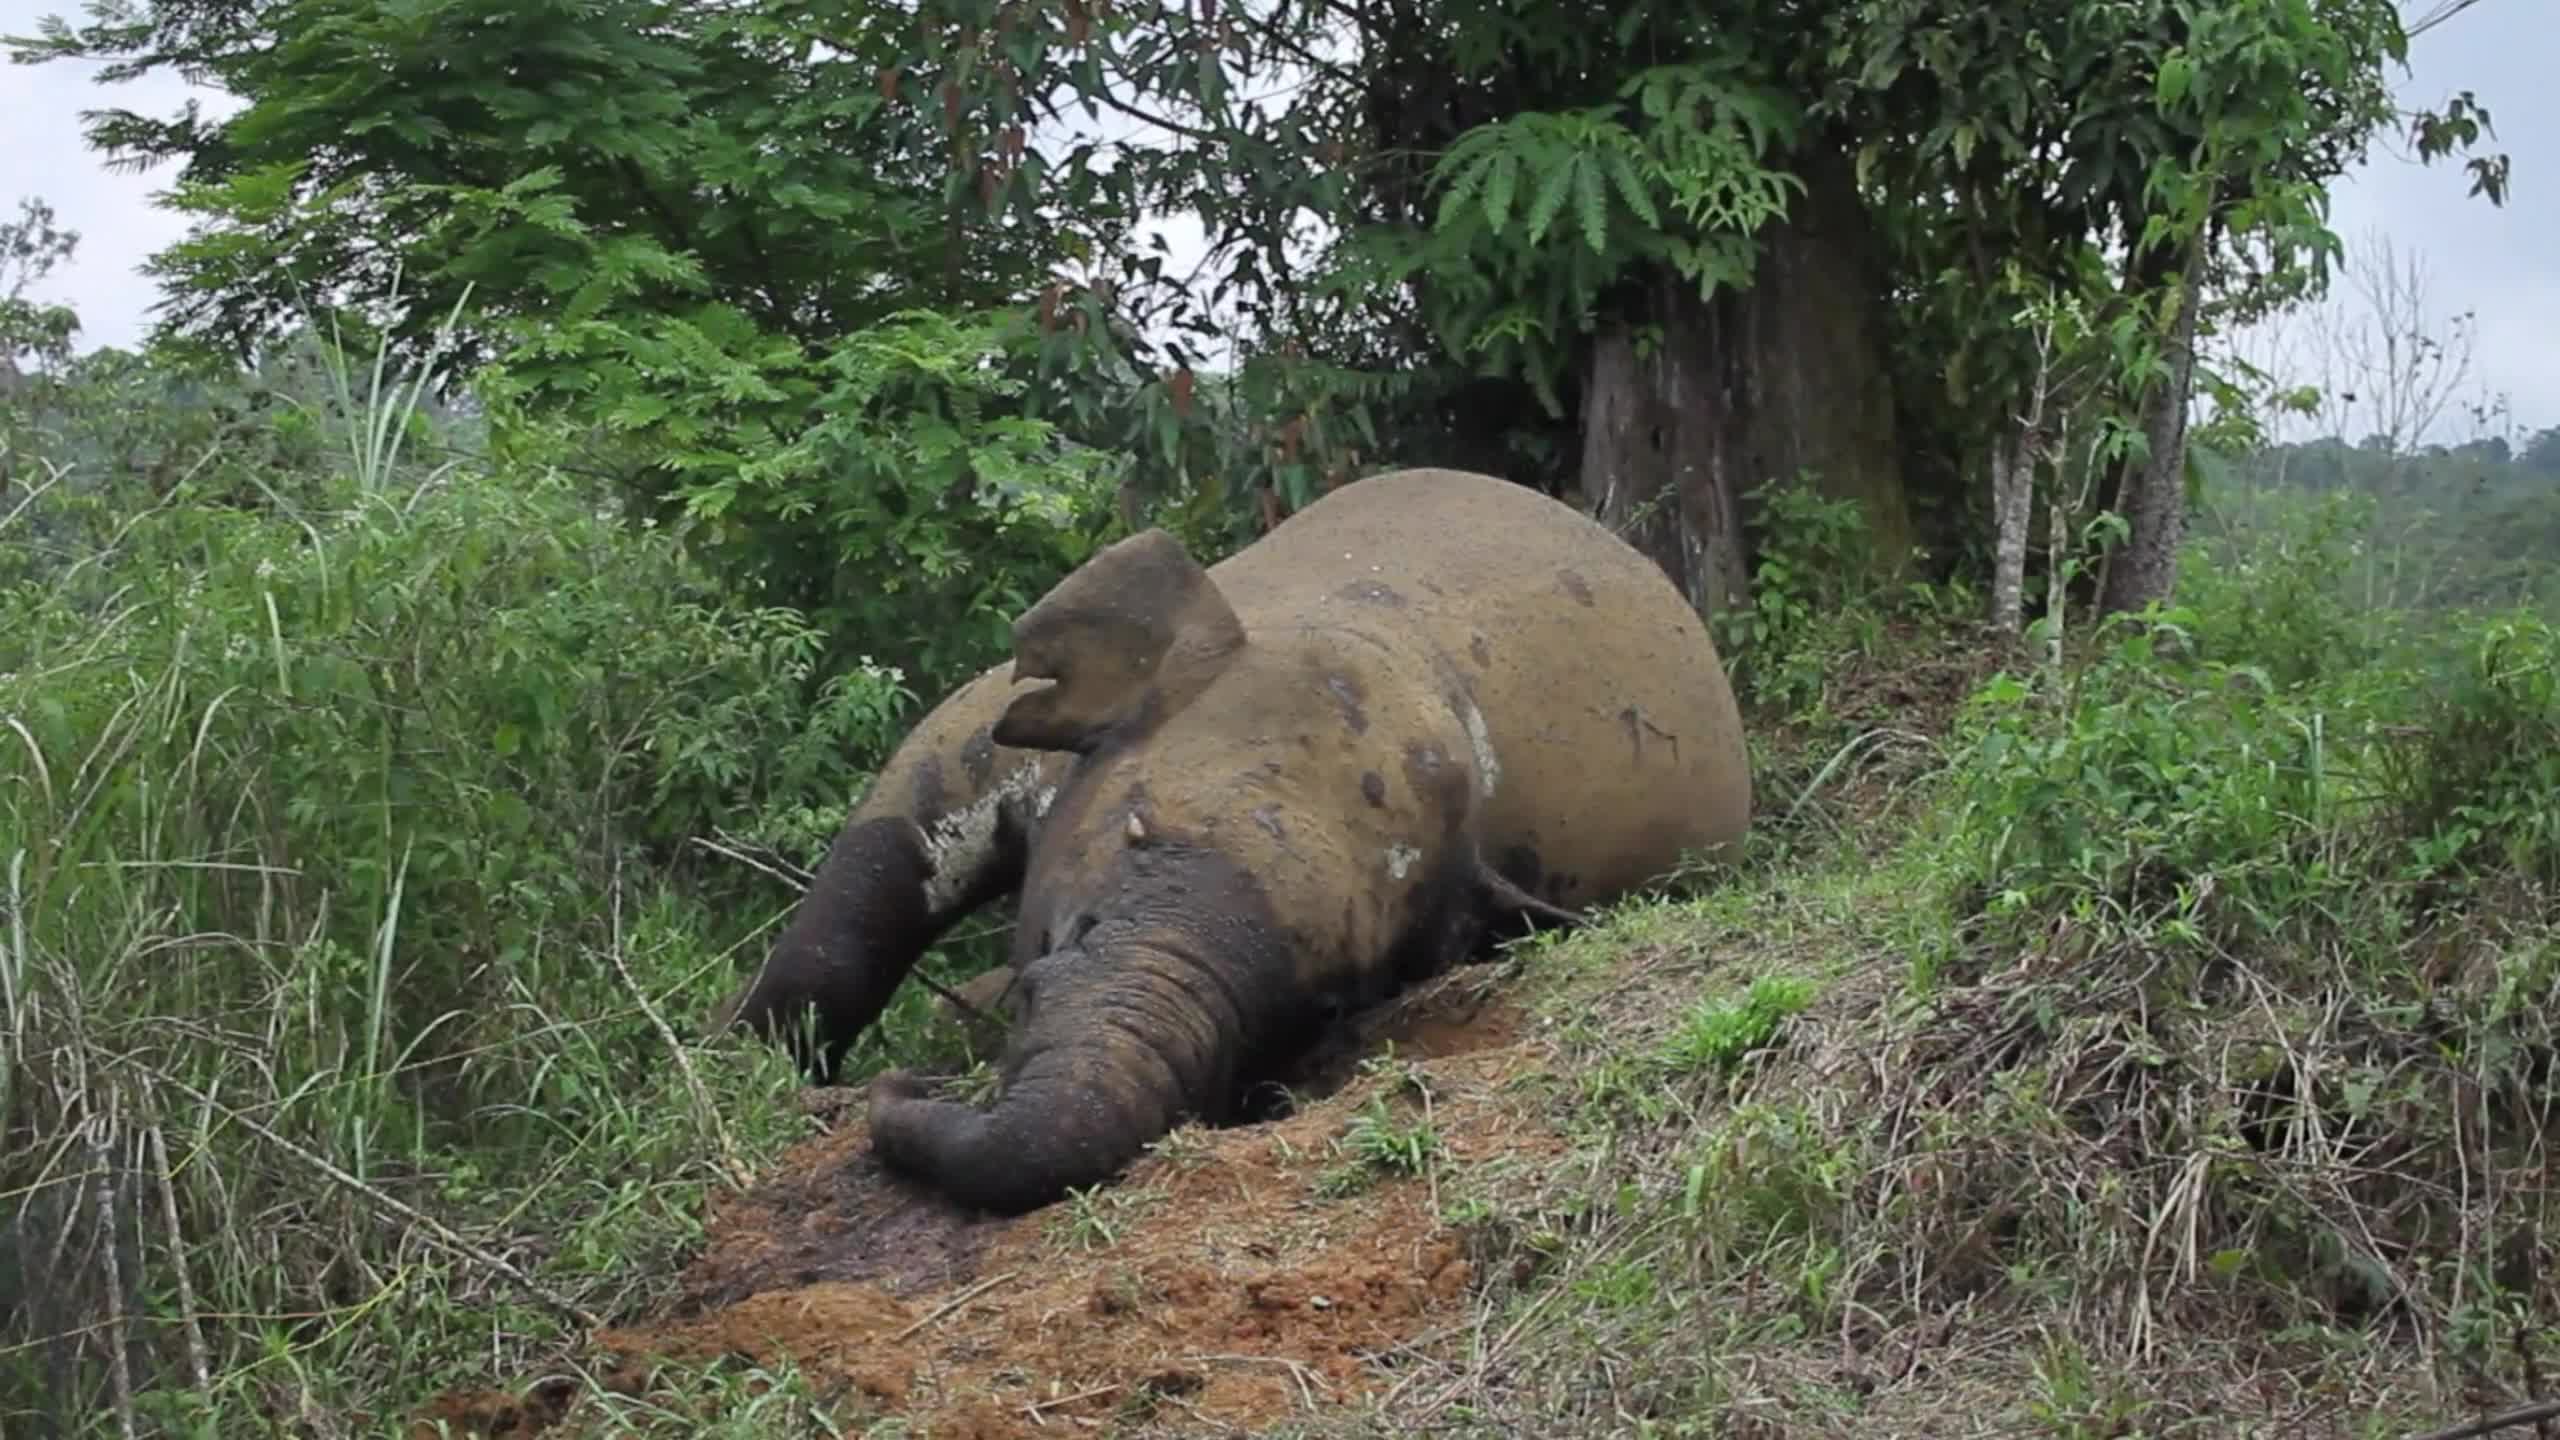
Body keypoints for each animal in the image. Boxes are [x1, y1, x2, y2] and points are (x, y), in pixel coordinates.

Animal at [714, 467, 1752, 1214]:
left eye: (1322, 1005)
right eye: (1132, 833)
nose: (901, 1092)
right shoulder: (984, 730)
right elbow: (882, 857)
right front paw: (748, 1068)